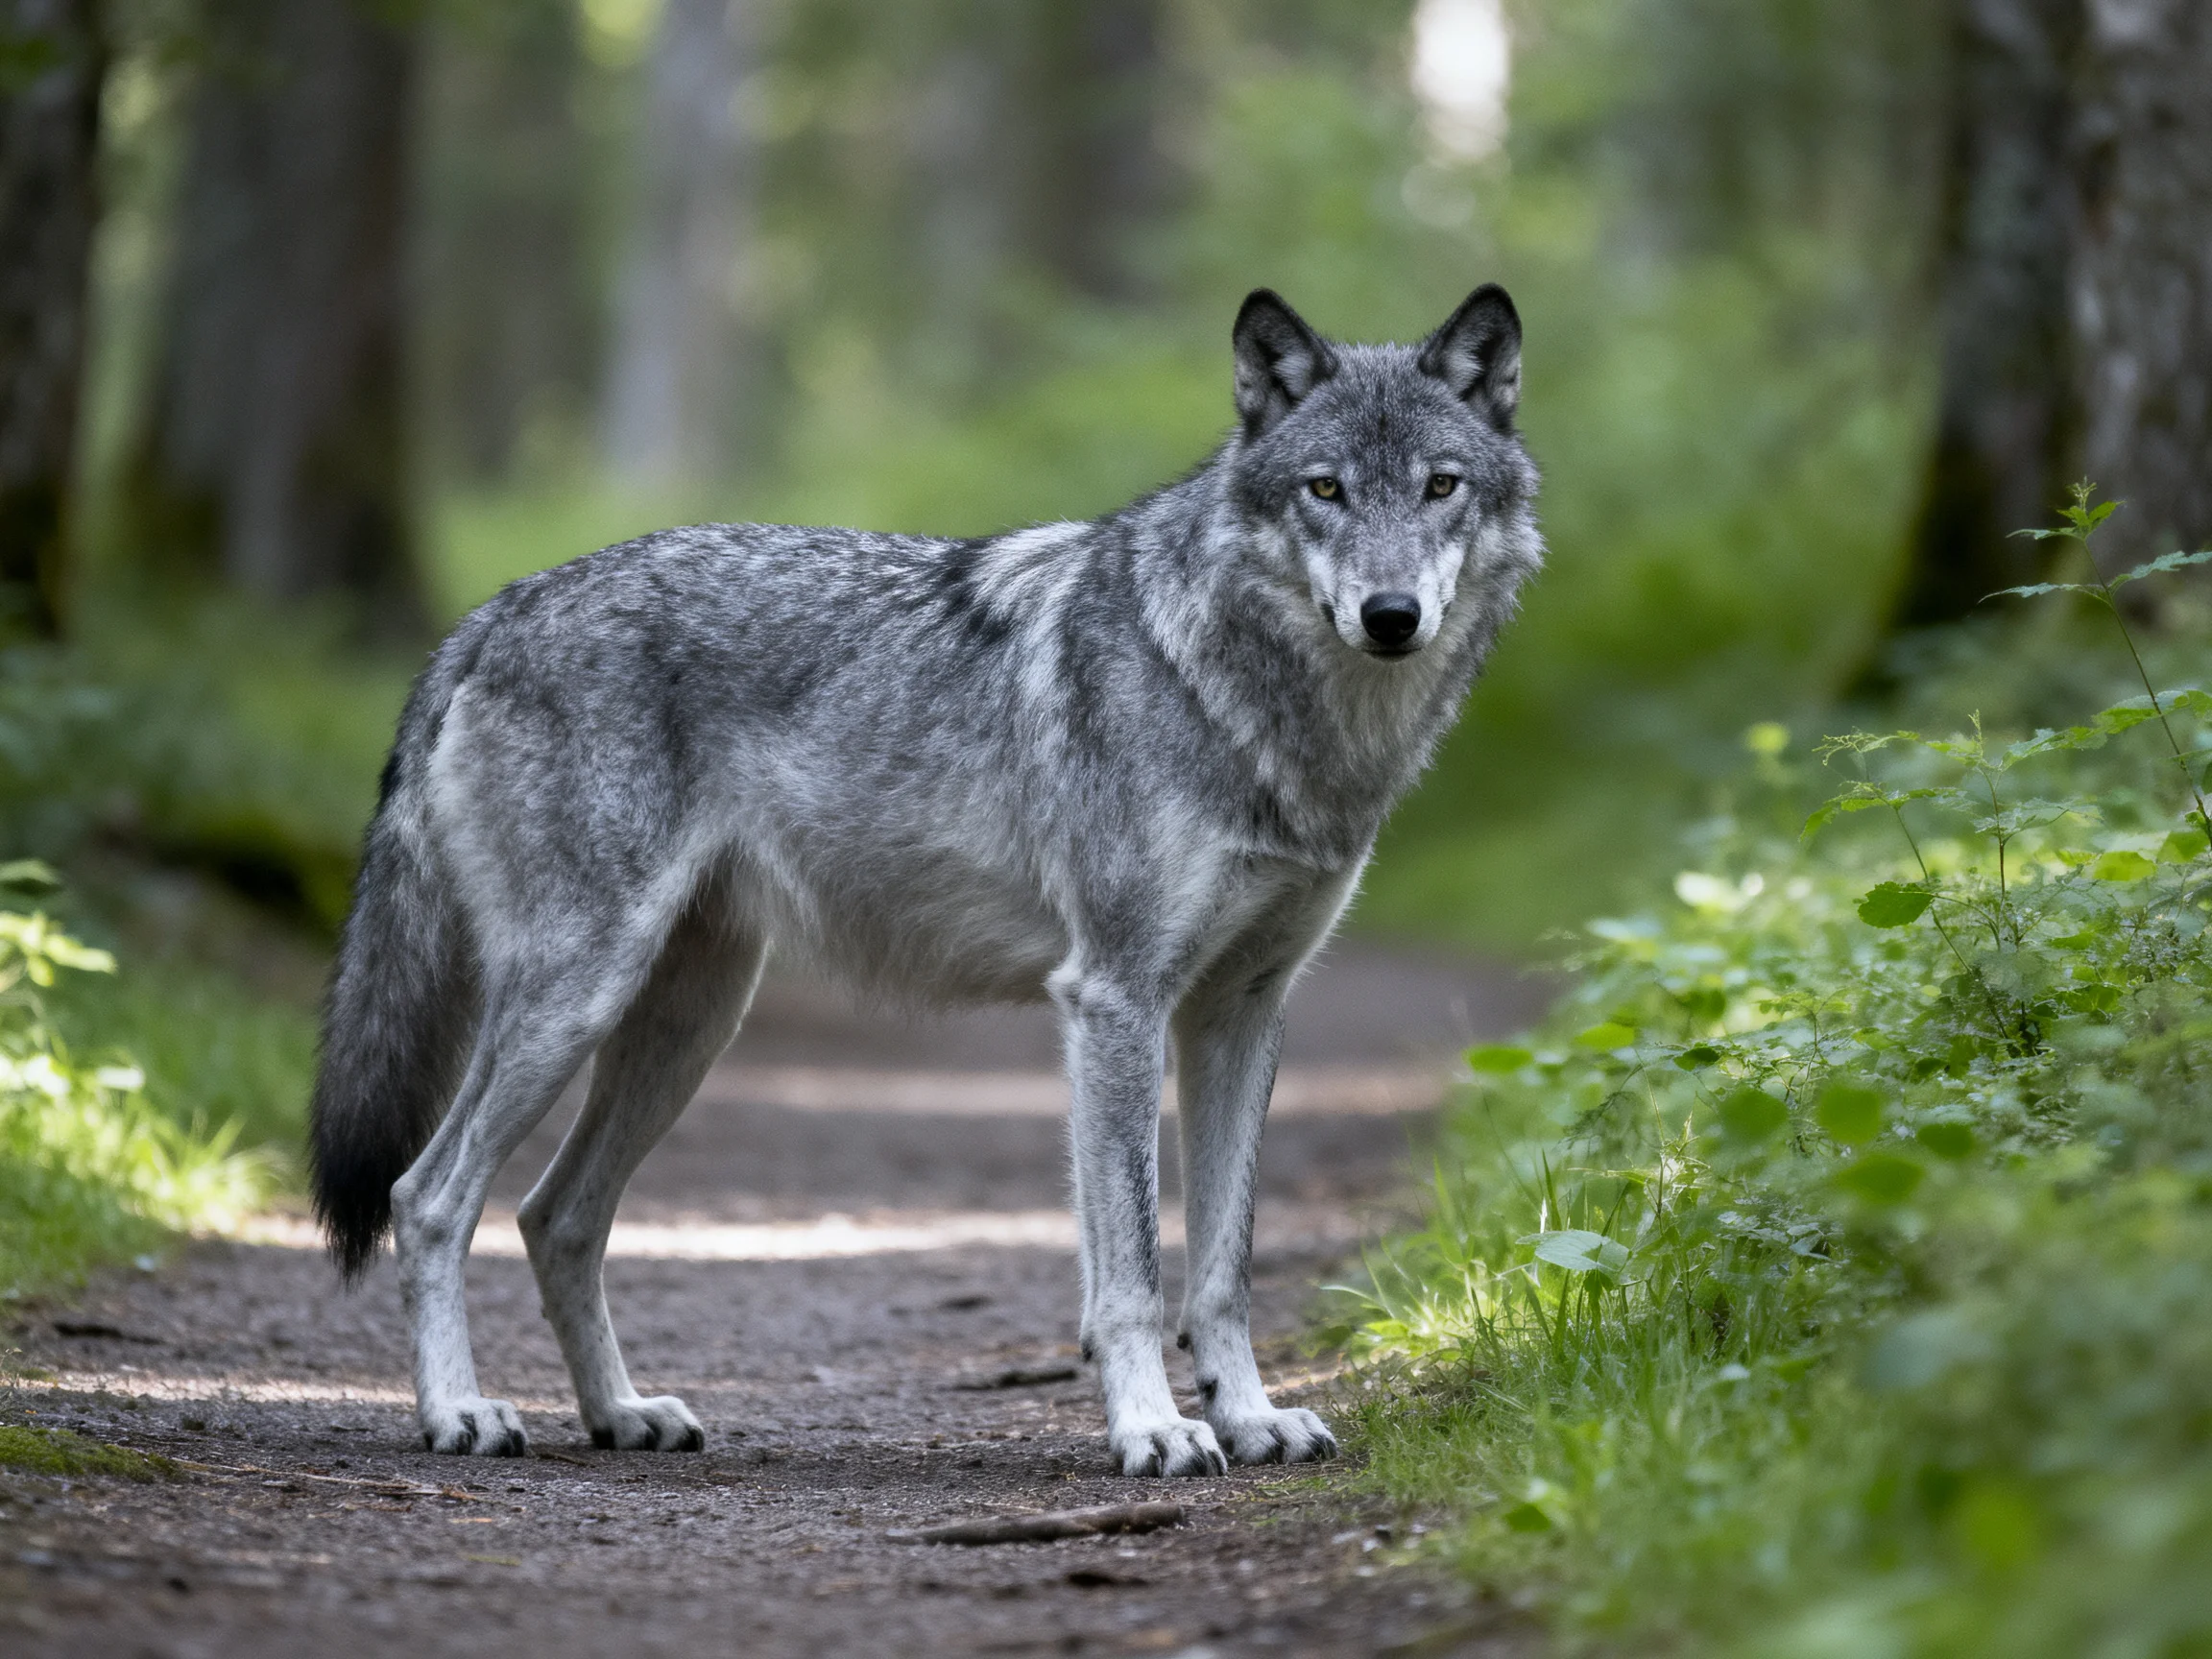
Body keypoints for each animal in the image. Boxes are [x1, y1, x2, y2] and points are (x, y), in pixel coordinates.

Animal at [309, 285, 1541, 1477]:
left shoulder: (1239, 1013)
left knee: (555, 1215)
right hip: (577, 1000)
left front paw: (1250, 1420)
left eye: (1439, 487)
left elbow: (1223, 1270)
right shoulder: (1113, 1003)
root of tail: (493, 610)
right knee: (429, 1197)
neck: (1264, 715)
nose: (1392, 616)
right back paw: (459, 1413)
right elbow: (1134, 1276)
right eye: (1325, 490)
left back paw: (621, 1414)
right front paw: (1154, 1433)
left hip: (685, 1025)